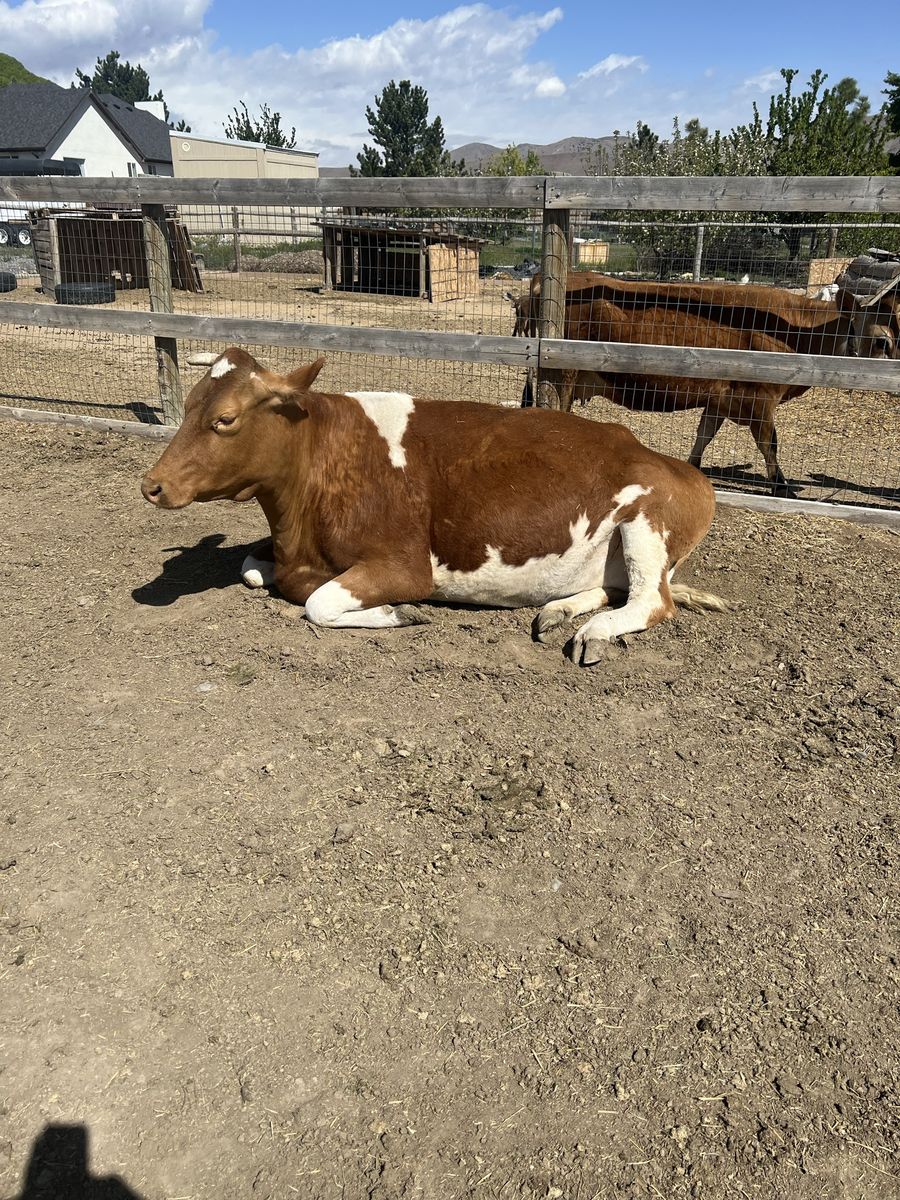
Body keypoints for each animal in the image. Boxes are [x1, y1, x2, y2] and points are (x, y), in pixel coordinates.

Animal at [140, 349, 730, 664]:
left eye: (225, 419)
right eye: (187, 406)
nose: (152, 485)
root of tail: (674, 464)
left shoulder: (405, 564)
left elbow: (319, 603)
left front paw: (399, 613)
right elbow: (250, 568)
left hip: (647, 521)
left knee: (652, 601)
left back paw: (593, 632)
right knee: (614, 587)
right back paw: (557, 611)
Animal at [511, 272, 898, 497]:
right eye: (883, 341)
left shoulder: (719, 398)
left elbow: (704, 435)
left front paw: (692, 468)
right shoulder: (761, 400)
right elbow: (770, 444)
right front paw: (782, 485)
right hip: (563, 376)